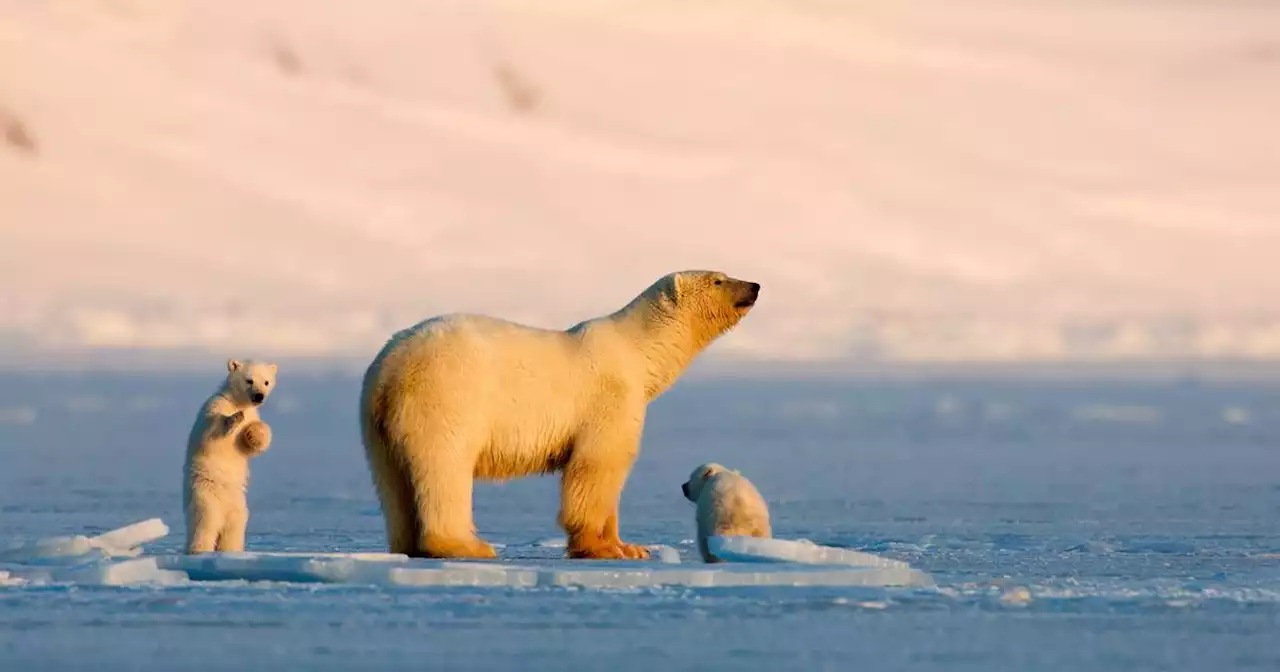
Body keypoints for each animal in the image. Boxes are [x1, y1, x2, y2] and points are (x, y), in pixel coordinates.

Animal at [181, 358, 276, 552]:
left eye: (266, 382)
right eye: (249, 380)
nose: (259, 396)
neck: (237, 402)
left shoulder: (253, 414)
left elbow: (248, 446)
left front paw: (256, 433)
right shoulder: (214, 405)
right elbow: (210, 431)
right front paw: (234, 418)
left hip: (238, 505)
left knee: (233, 529)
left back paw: (231, 550)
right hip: (205, 496)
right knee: (205, 525)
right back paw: (199, 549)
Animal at [358, 270, 757, 558]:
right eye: (718, 278)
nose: (754, 285)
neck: (637, 352)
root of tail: (390, 367)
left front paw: (632, 547)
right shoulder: (609, 398)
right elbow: (597, 467)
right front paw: (603, 549)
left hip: (376, 421)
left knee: (391, 482)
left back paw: (407, 545)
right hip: (446, 398)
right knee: (445, 467)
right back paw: (467, 546)